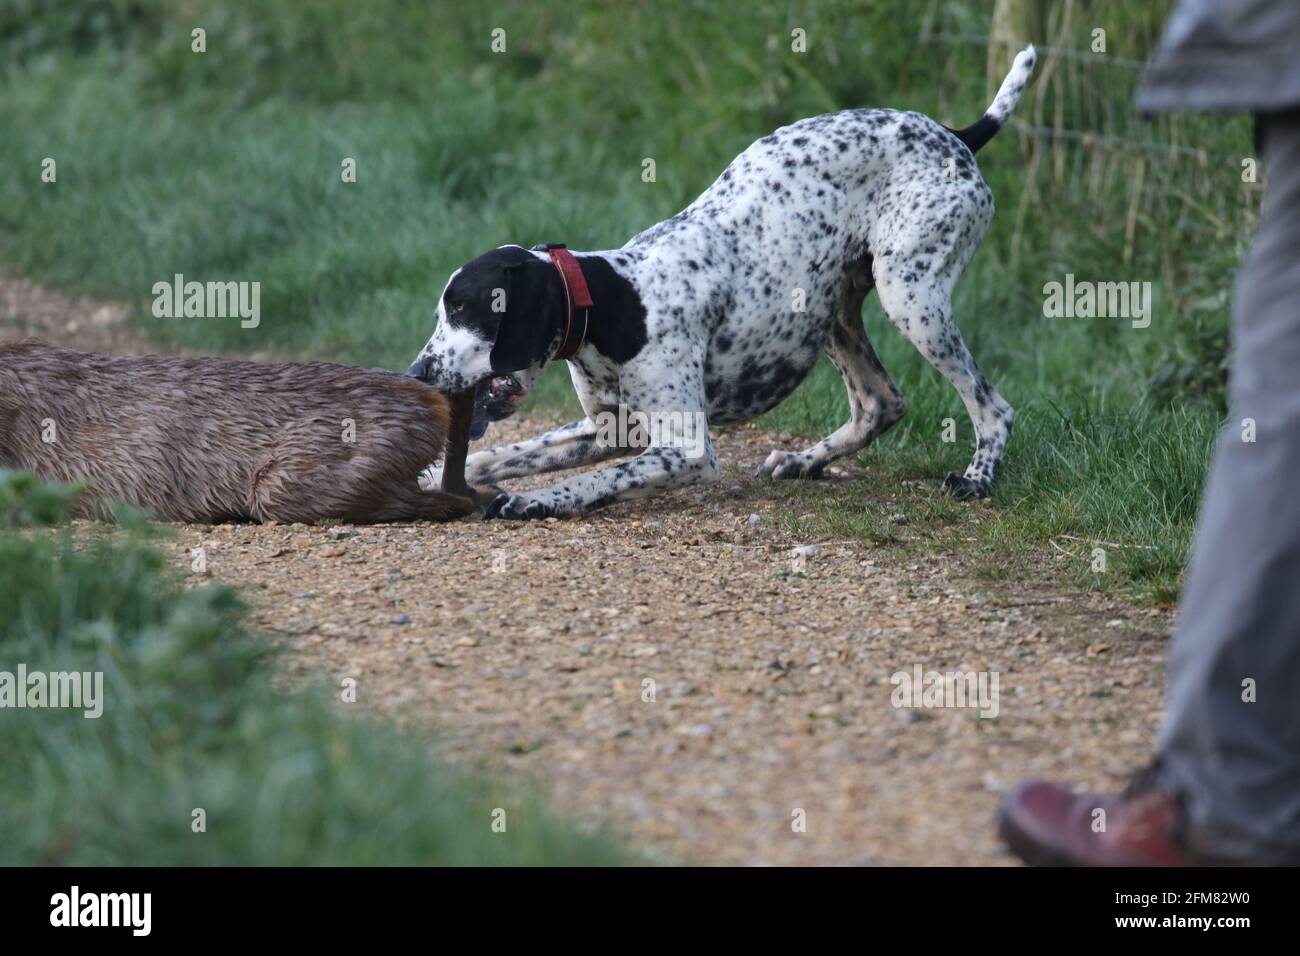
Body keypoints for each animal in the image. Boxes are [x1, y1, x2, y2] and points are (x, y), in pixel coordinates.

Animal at [410, 45, 1040, 520]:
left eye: (465, 309)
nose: (417, 373)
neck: (616, 302)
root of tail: (955, 134)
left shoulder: (685, 450)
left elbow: (594, 482)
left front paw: (535, 500)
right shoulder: (608, 430)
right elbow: (503, 453)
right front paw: (435, 472)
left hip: (911, 297)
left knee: (993, 407)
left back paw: (977, 478)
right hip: (830, 313)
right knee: (880, 404)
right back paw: (804, 462)